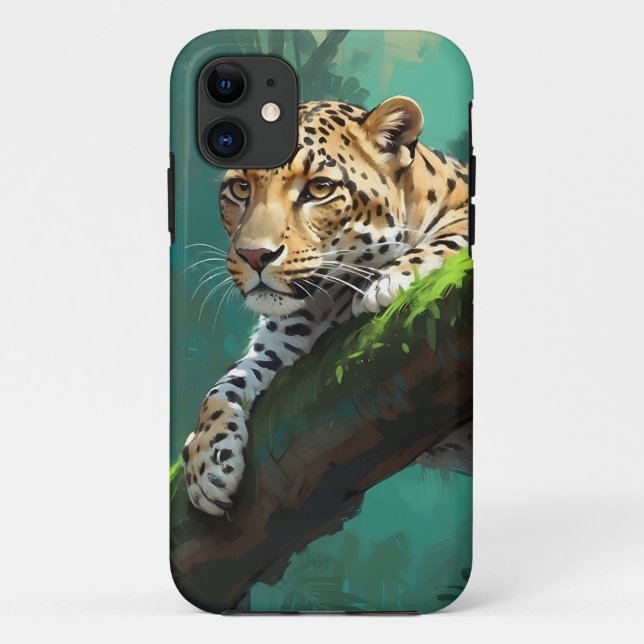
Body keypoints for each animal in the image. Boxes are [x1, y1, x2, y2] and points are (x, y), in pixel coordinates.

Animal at [182, 96, 470, 516]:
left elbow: (456, 231)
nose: (254, 256)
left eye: (319, 189)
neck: (325, 300)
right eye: (240, 187)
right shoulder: (278, 345)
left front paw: (391, 279)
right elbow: (224, 386)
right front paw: (206, 459)